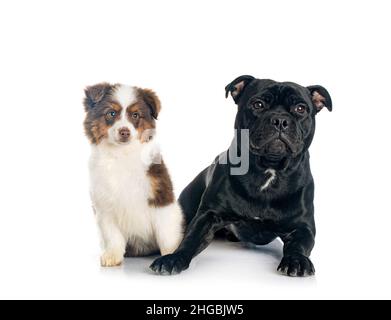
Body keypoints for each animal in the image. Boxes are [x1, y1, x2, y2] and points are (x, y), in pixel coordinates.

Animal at [84, 83, 184, 268]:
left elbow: (166, 232)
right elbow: (112, 234)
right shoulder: (104, 205)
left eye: (135, 115)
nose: (125, 132)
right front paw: (113, 255)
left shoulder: (160, 197)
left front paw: (171, 254)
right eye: (111, 113)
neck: (122, 154)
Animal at [152, 76, 332, 276]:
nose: (280, 120)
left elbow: (299, 246)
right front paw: (174, 258)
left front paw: (297, 260)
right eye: (258, 104)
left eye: (300, 109)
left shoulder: (302, 226)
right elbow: (191, 239)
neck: (269, 169)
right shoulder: (208, 215)